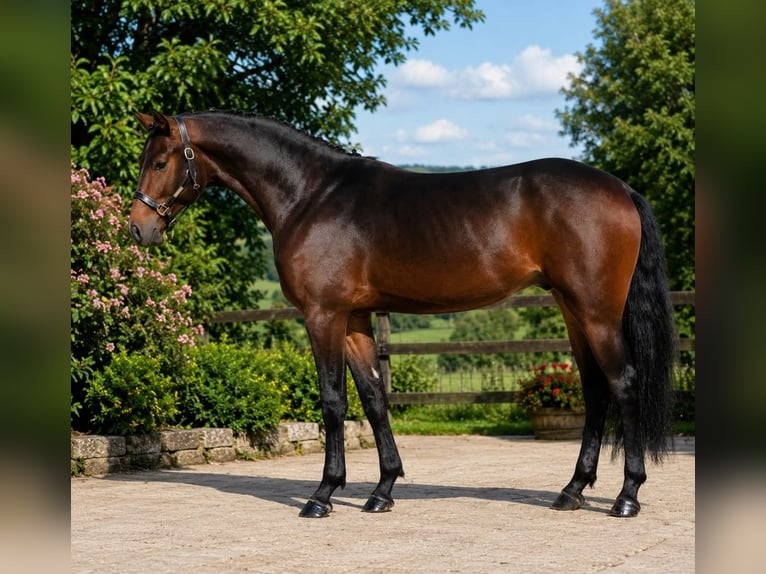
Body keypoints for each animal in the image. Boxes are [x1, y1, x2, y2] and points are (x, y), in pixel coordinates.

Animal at [129, 110, 676, 519]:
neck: (310, 194)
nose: (137, 229)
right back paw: (572, 490)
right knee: (595, 389)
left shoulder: (323, 315)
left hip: (597, 311)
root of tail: (621, 189)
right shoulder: (354, 319)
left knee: (623, 383)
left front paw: (322, 496)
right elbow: (374, 398)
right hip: (572, 308)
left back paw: (626, 497)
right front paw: (382, 491)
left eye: (160, 161)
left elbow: (333, 402)